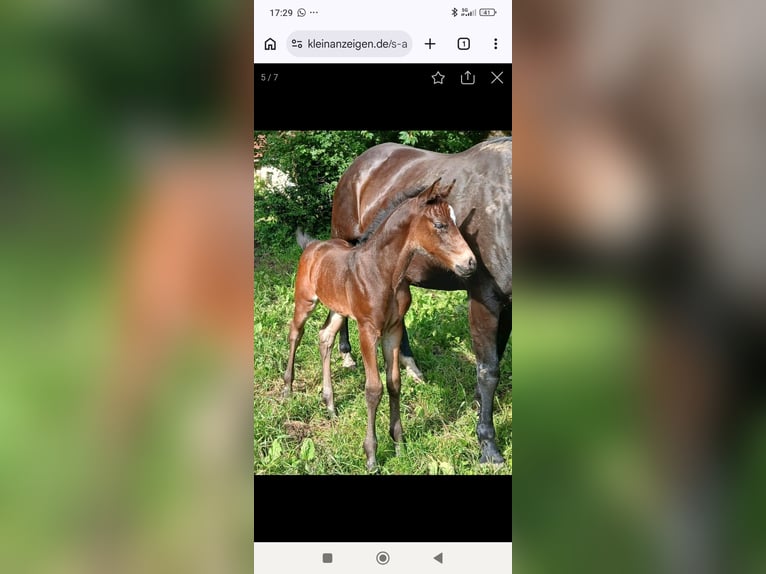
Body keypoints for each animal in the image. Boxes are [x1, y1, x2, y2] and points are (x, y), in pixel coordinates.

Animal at [283, 178, 476, 471]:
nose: (470, 263)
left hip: (338, 309)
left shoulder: (393, 330)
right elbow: (374, 389)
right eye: (440, 225)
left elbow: (394, 382)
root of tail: (312, 245)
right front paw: (371, 456)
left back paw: (330, 404)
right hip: (305, 300)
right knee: (296, 333)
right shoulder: (367, 330)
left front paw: (399, 444)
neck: (384, 273)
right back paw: (288, 388)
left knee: (324, 337)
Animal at [329, 138, 512, 464]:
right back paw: (347, 353)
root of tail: (358, 166)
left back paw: (410, 364)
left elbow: (494, 359)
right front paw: (488, 446)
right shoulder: (484, 299)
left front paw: (478, 404)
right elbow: (489, 370)